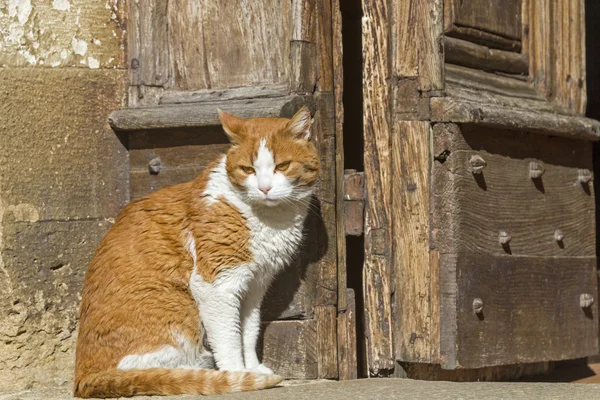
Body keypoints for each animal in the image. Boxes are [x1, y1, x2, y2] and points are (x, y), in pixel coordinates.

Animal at [73, 106, 322, 396]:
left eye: (282, 166)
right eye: (247, 169)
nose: (264, 188)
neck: (272, 218)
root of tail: (83, 376)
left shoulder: (255, 285)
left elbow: (248, 331)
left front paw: (252, 367)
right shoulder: (217, 284)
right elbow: (229, 338)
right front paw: (237, 374)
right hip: (176, 310)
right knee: (139, 370)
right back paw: (194, 372)